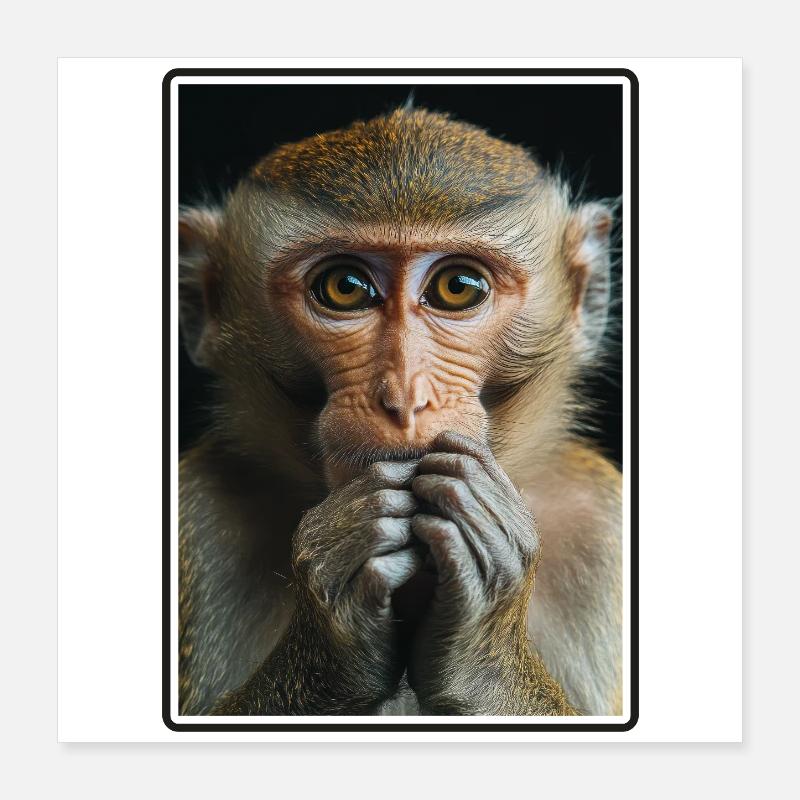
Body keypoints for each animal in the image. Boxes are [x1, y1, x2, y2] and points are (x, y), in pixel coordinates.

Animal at [177, 106, 622, 717]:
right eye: (345, 287)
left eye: (457, 287)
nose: (404, 396)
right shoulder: (198, 512)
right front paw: (335, 625)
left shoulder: (603, 525)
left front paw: (483, 650)